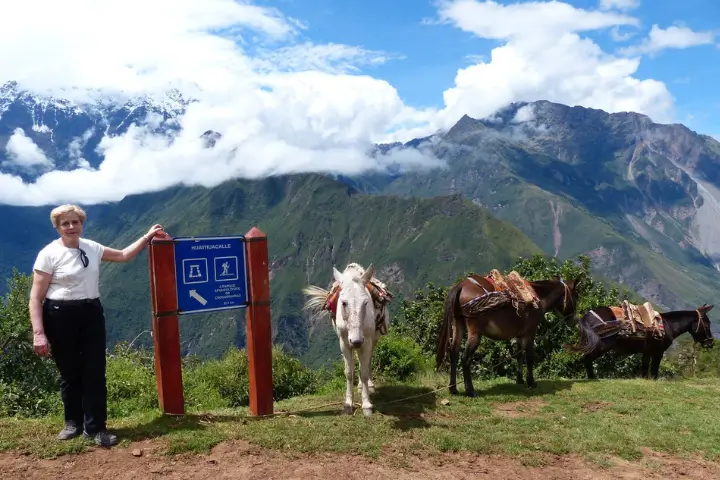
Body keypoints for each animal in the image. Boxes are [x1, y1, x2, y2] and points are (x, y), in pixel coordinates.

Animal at [306, 262, 394, 416]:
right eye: (343, 303)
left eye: (366, 303)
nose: (356, 341)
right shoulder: (344, 343)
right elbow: (348, 373)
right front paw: (348, 404)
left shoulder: (366, 342)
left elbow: (363, 371)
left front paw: (366, 405)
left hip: (373, 341)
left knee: (368, 362)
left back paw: (369, 386)